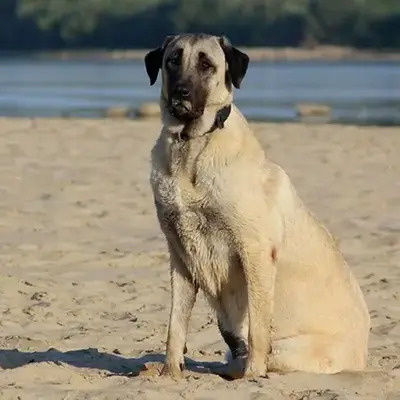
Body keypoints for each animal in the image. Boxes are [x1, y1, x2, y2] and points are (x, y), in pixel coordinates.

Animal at [145, 33, 370, 378]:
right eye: (172, 60)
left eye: (206, 65)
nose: (180, 92)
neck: (191, 146)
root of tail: (362, 355)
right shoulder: (180, 257)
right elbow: (175, 325)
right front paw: (170, 373)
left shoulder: (255, 252)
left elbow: (258, 327)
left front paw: (253, 374)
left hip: (290, 351)